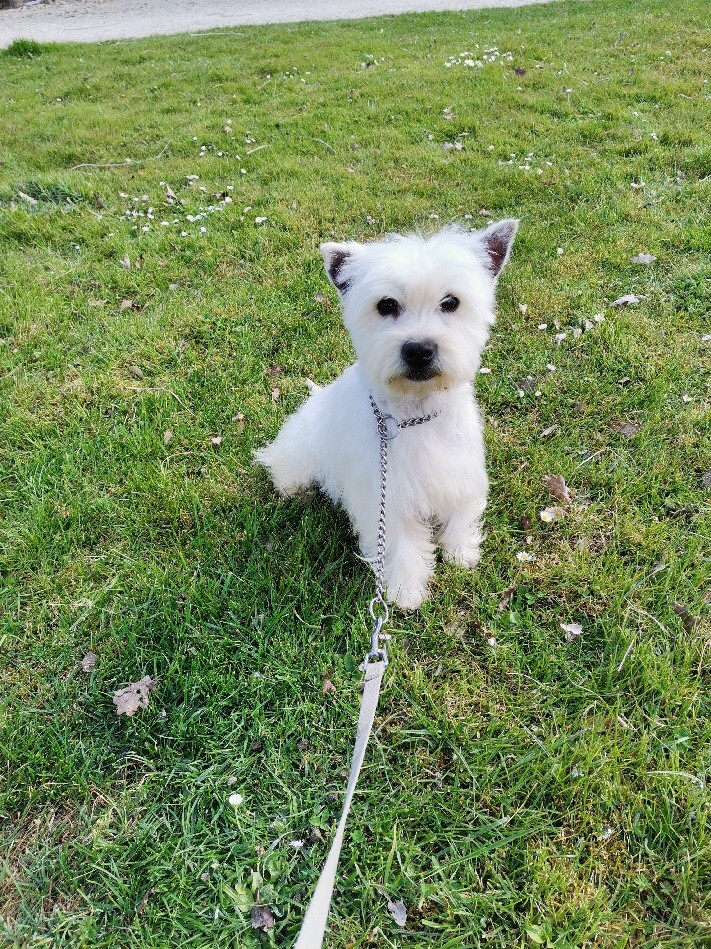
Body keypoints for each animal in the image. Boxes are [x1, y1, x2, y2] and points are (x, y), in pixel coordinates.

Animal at [256, 220, 516, 608]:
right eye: (387, 305)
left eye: (451, 302)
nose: (419, 350)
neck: (414, 413)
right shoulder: (386, 497)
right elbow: (400, 543)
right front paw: (407, 589)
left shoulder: (459, 473)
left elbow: (461, 514)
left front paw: (460, 553)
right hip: (300, 452)